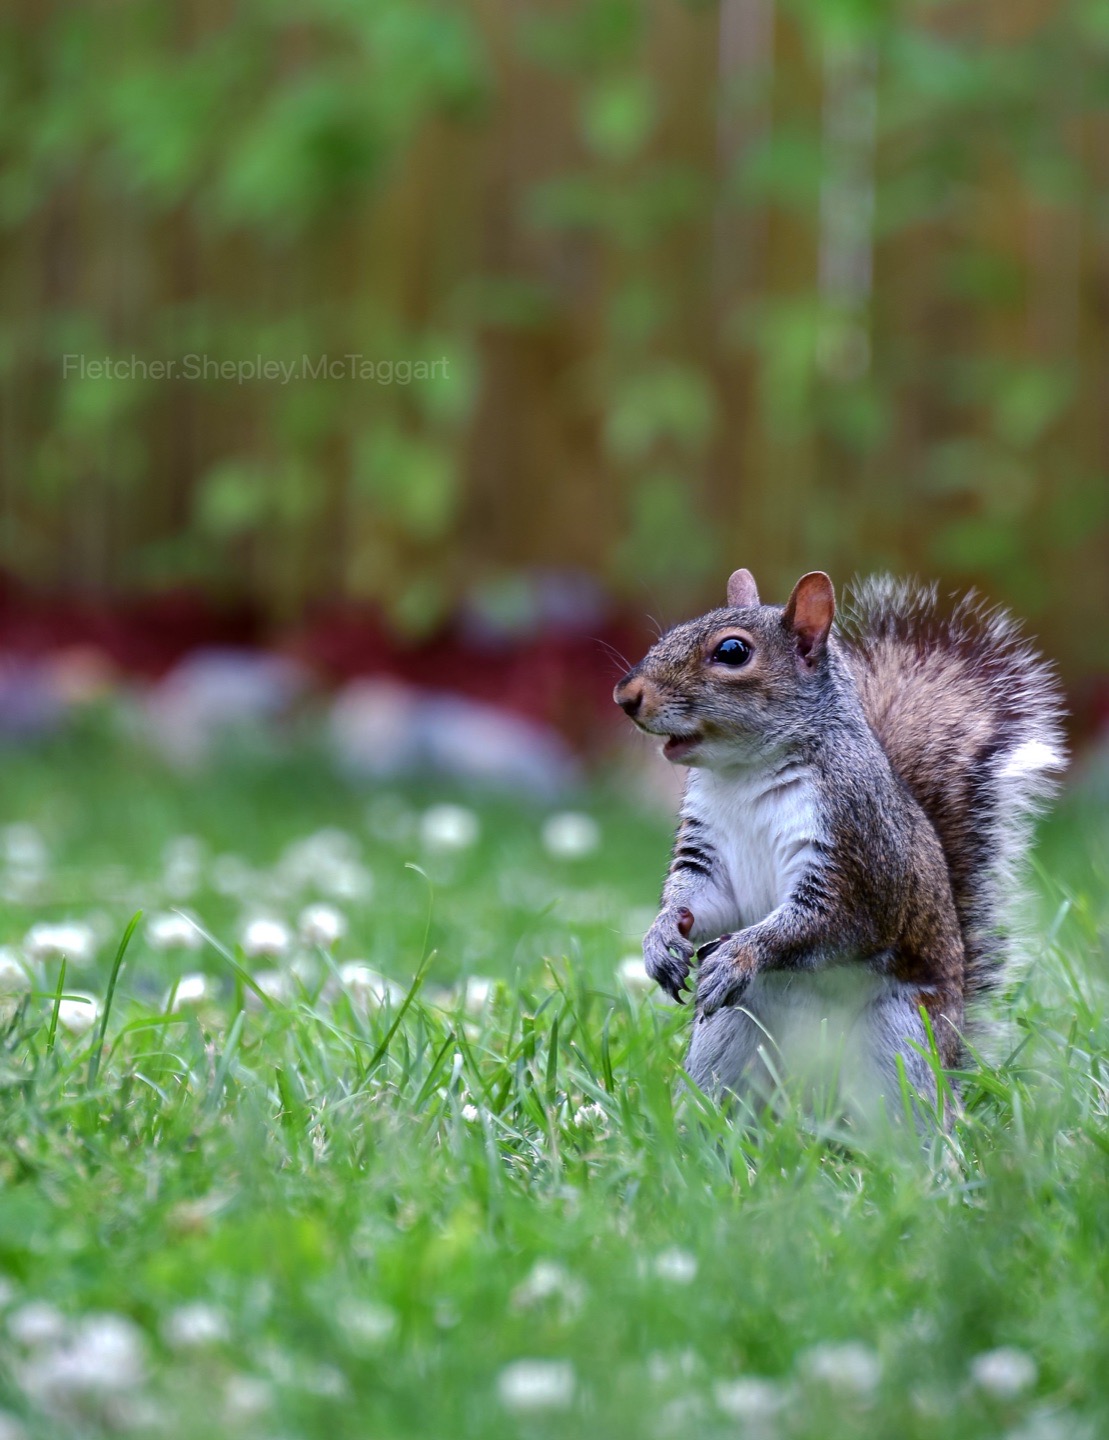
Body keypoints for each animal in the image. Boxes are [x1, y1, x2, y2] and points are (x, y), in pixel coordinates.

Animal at [614, 568, 1066, 1113]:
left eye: (732, 652)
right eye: (670, 632)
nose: (626, 697)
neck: (743, 774)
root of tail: (811, 1092)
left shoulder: (854, 849)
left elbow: (831, 923)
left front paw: (740, 955)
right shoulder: (706, 850)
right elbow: (700, 899)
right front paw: (660, 939)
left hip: (901, 1038)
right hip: (727, 1031)